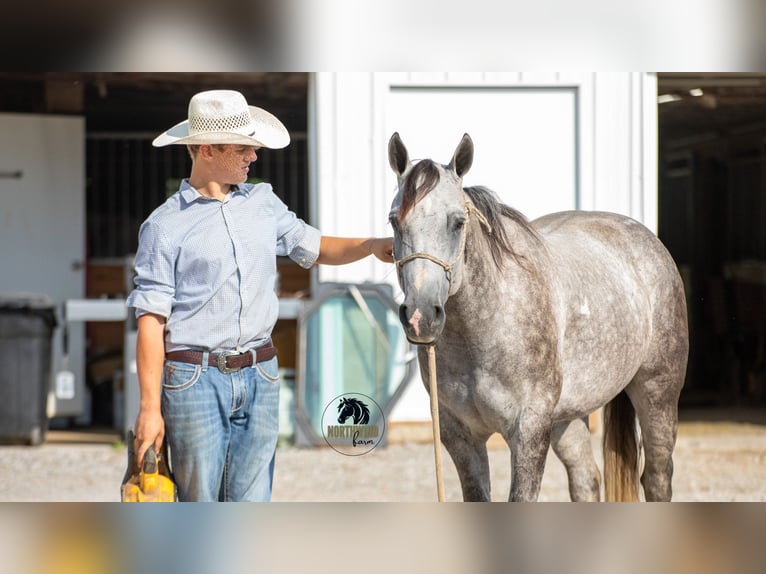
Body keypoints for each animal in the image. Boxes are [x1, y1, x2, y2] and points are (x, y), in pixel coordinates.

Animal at [387, 132, 688, 501]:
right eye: (394, 221)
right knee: (586, 479)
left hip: (658, 394)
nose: (421, 316)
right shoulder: (460, 436)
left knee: (657, 478)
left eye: (458, 222)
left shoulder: (528, 430)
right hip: (565, 418)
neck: (483, 330)